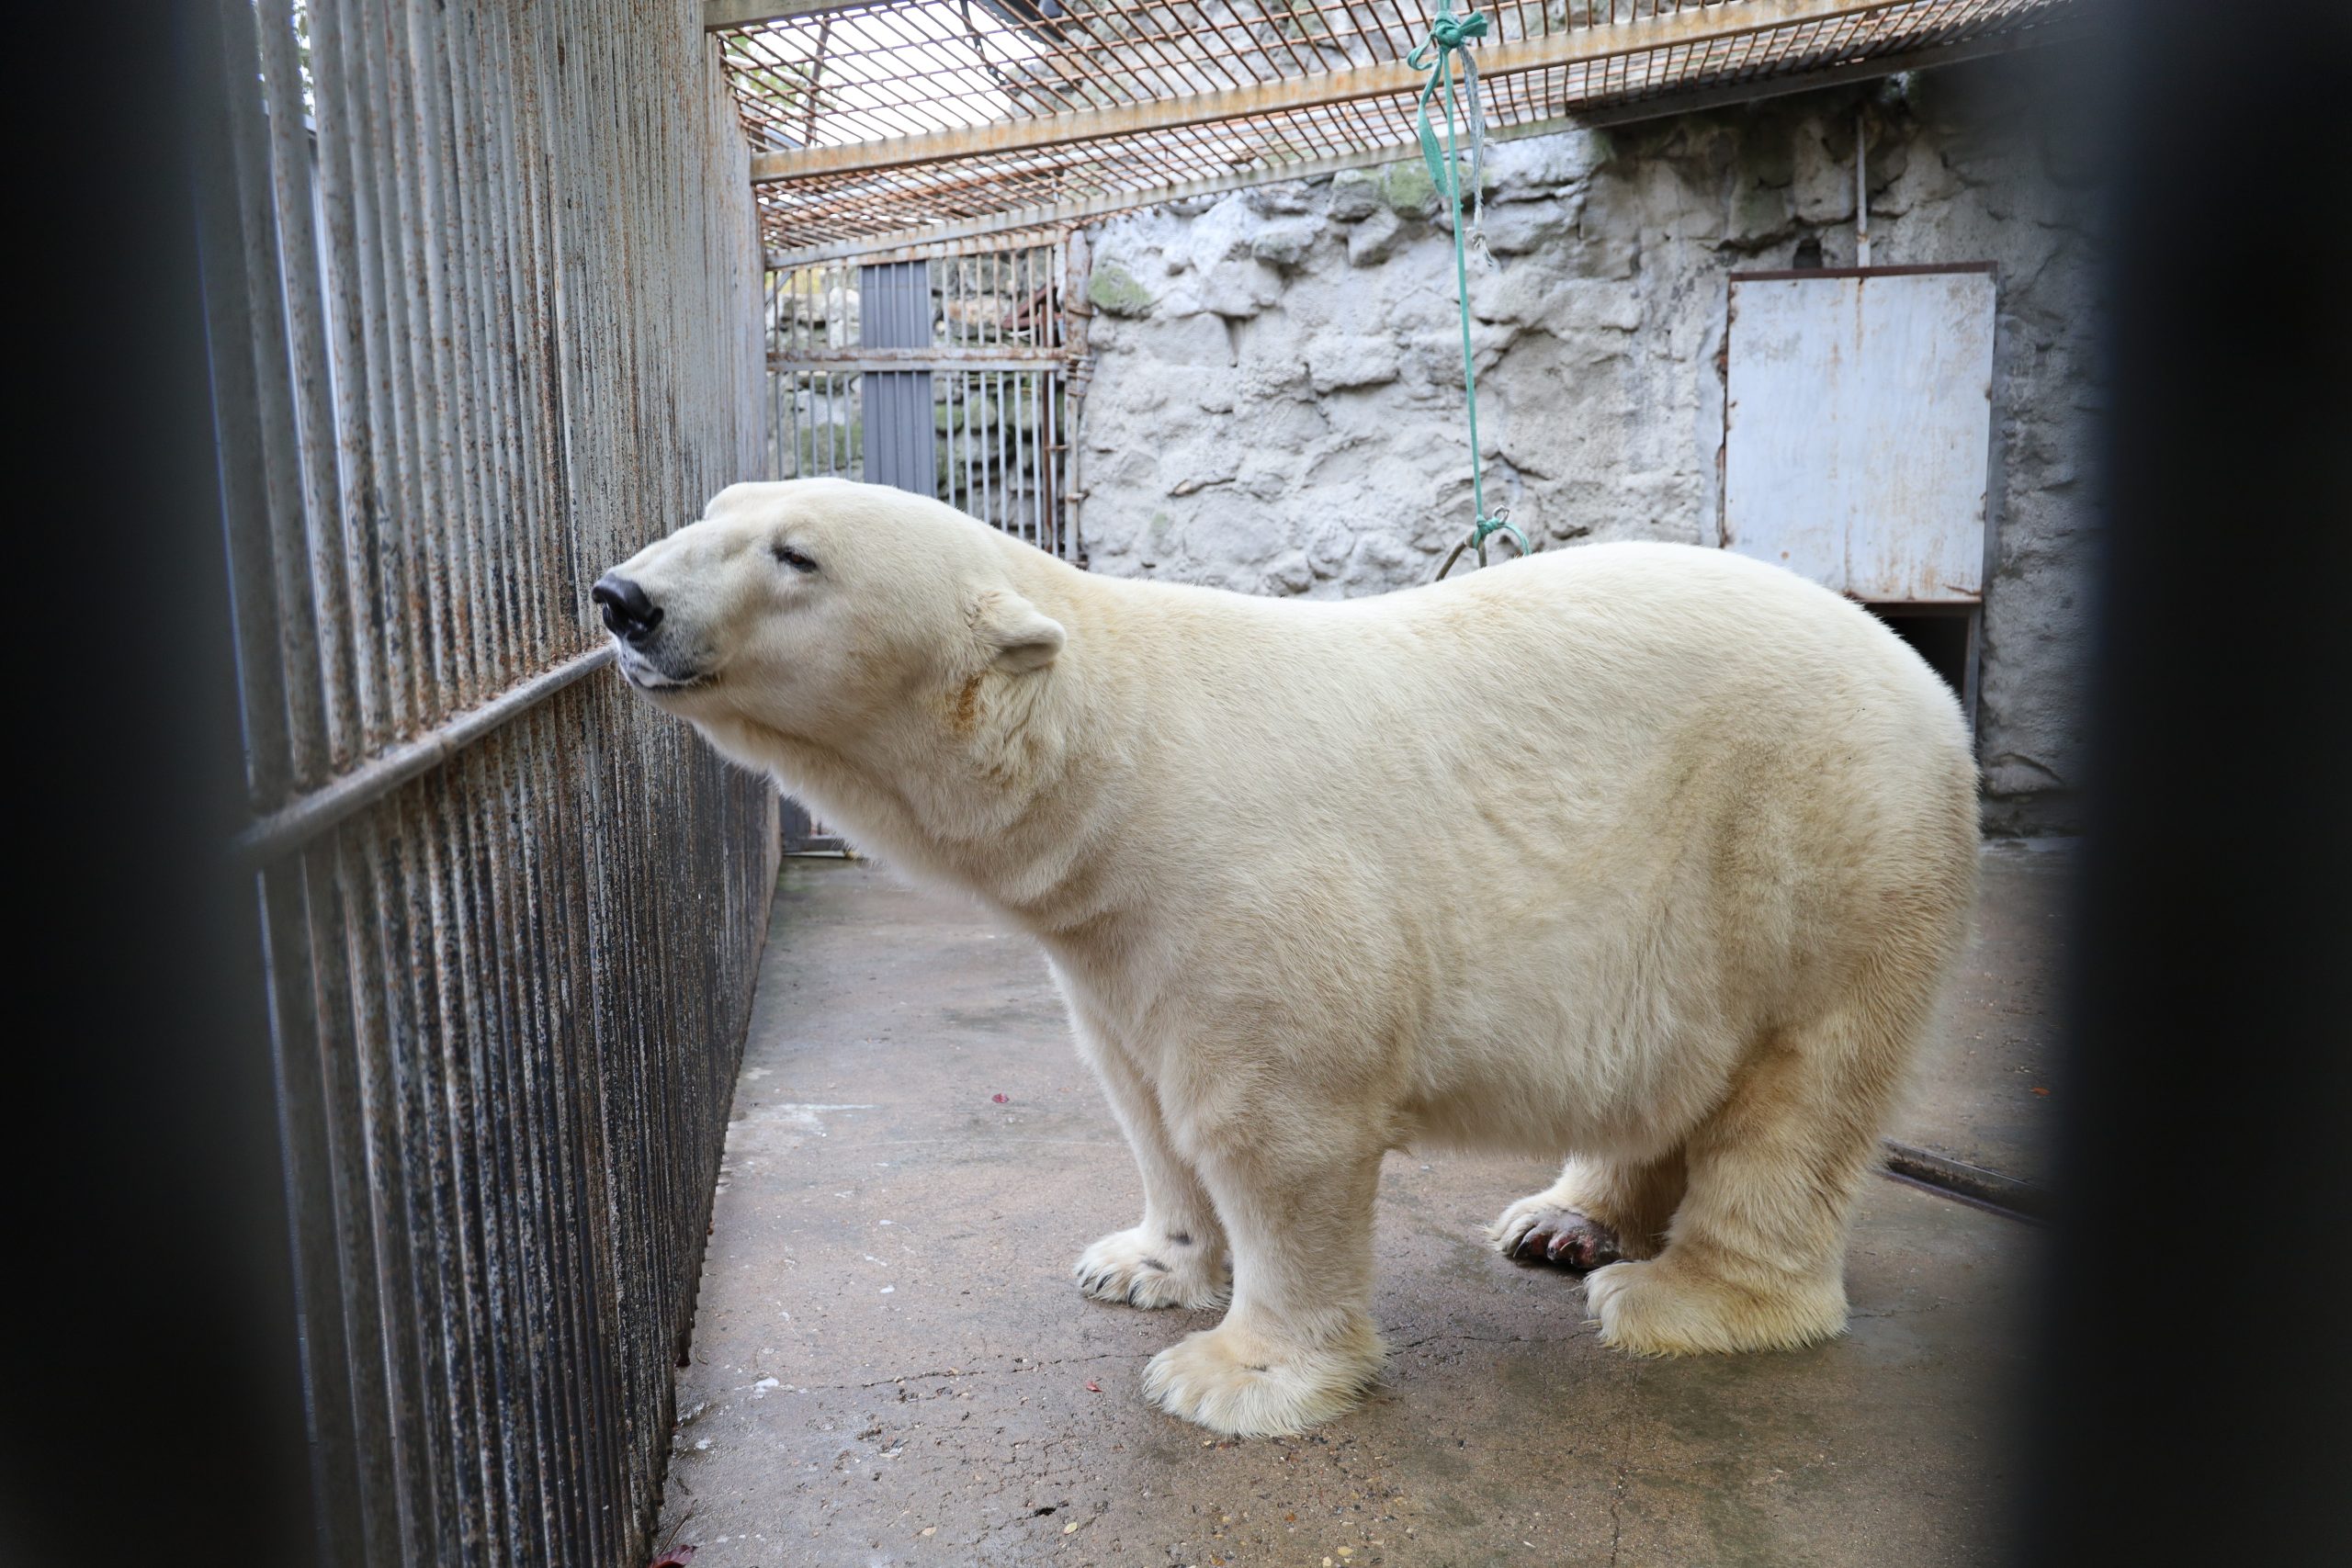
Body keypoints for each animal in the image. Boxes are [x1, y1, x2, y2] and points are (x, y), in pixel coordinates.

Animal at [597, 484, 1975, 1438]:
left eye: (797, 554)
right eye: (712, 512)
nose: (622, 597)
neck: (1124, 762)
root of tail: (1921, 677)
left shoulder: (1249, 887)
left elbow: (1272, 1125)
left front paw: (1233, 1375)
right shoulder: (1110, 940)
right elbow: (1141, 1097)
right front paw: (1141, 1263)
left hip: (1822, 844)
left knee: (1803, 1083)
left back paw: (1686, 1300)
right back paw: (1559, 1221)